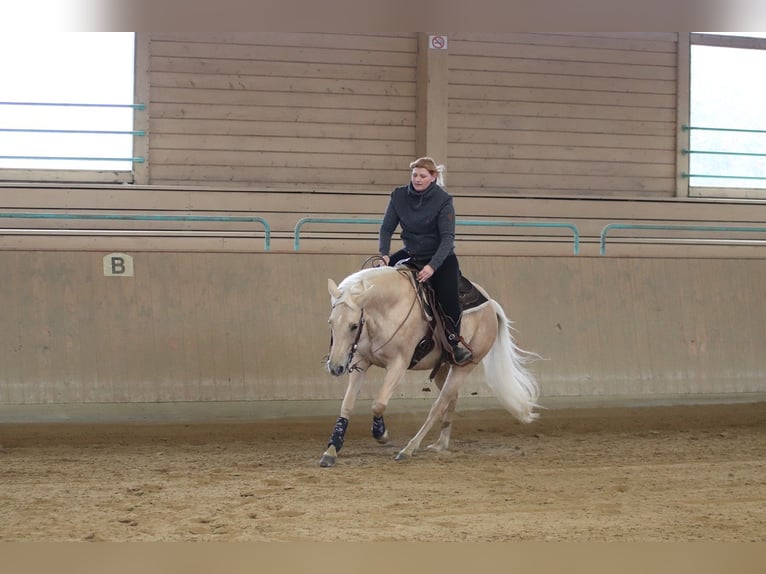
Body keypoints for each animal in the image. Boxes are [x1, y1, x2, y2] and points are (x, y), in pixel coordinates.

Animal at [320, 266, 544, 468]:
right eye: (330, 322)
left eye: (353, 326)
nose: (336, 367)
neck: (390, 309)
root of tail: (491, 305)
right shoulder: (360, 362)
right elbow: (347, 404)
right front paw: (332, 449)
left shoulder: (398, 364)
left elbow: (379, 404)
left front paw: (381, 434)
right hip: (443, 368)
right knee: (451, 400)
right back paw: (440, 444)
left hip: (464, 366)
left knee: (439, 405)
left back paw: (409, 448)